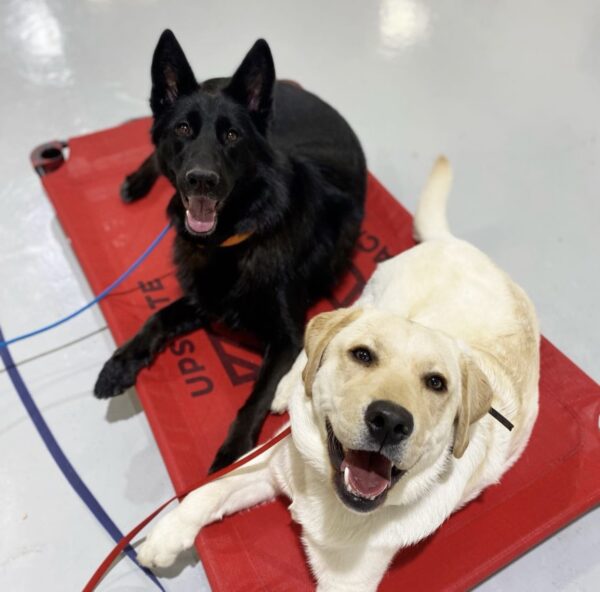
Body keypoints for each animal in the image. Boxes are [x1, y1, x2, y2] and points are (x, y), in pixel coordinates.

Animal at [94, 31, 366, 472]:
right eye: (184, 129)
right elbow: (156, 316)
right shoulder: (202, 297)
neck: (233, 240)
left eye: (233, 135)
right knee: (152, 151)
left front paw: (232, 453)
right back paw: (136, 181)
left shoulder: (287, 337)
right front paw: (120, 364)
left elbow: (255, 398)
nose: (201, 180)